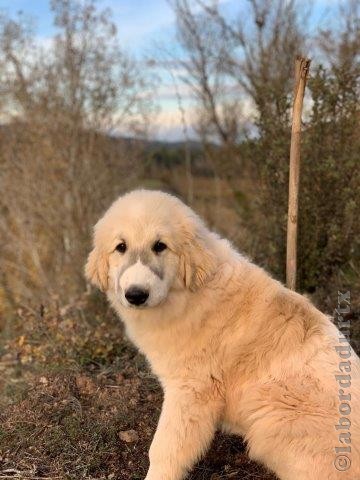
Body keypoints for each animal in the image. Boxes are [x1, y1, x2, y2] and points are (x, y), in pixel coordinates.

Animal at [86, 189, 360, 480]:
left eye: (160, 246)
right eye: (121, 247)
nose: (136, 294)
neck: (190, 294)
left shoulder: (191, 391)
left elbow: (165, 448)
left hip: (273, 419)